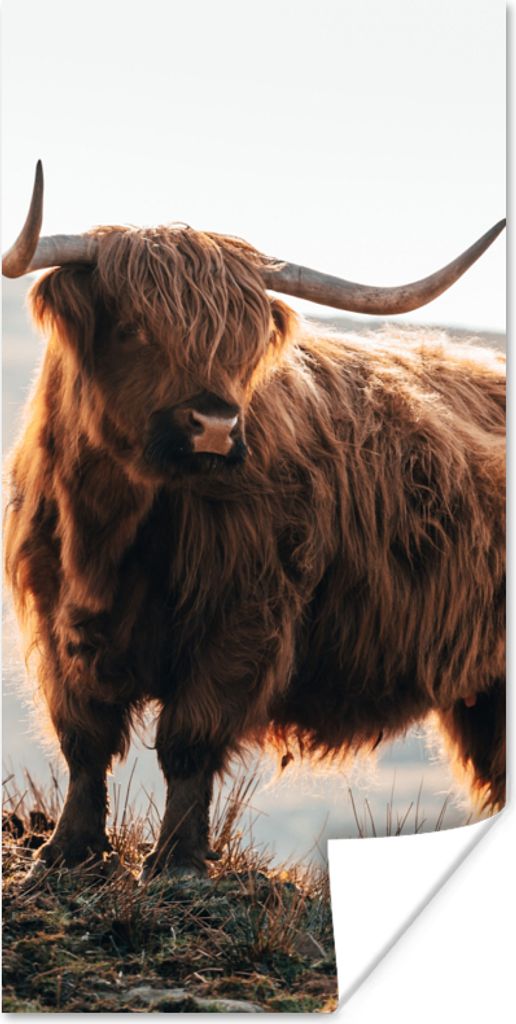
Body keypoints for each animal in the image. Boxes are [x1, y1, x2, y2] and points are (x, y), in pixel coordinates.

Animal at [3, 163, 505, 877]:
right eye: (134, 328)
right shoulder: (58, 618)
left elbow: (187, 740)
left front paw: (177, 861)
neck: (113, 530)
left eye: (239, 344)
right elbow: (85, 737)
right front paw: (67, 849)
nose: (215, 424)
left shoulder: (242, 617)